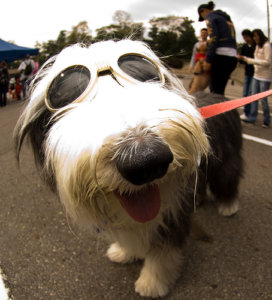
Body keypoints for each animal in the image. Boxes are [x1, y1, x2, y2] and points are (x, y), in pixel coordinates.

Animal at [13, 39, 242, 298]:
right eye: (64, 95)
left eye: (144, 73)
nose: (146, 161)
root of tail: (216, 94)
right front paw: (124, 253)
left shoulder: (172, 217)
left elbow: (162, 253)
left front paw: (152, 283)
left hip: (226, 157)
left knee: (229, 176)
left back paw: (229, 205)